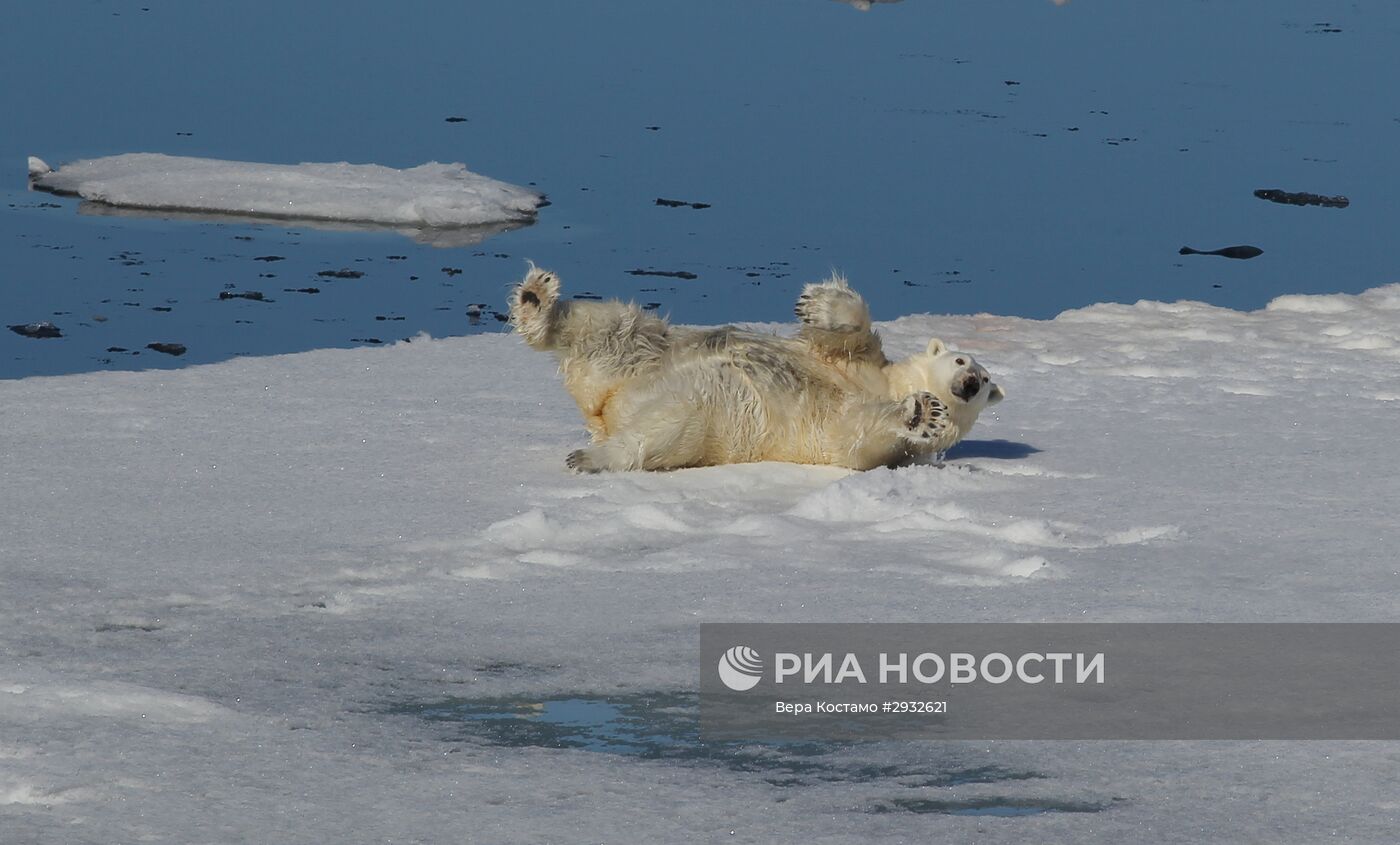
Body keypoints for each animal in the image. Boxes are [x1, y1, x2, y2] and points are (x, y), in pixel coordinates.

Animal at [509, 265, 1002, 470]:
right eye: (962, 360)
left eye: (985, 383)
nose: (969, 381)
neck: (889, 386)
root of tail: (604, 409)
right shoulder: (861, 365)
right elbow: (851, 333)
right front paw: (816, 303)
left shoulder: (875, 446)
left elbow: (857, 435)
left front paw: (922, 411)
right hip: (644, 354)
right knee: (614, 327)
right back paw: (536, 299)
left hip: (707, 416)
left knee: (663, 429)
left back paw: (589, 457)